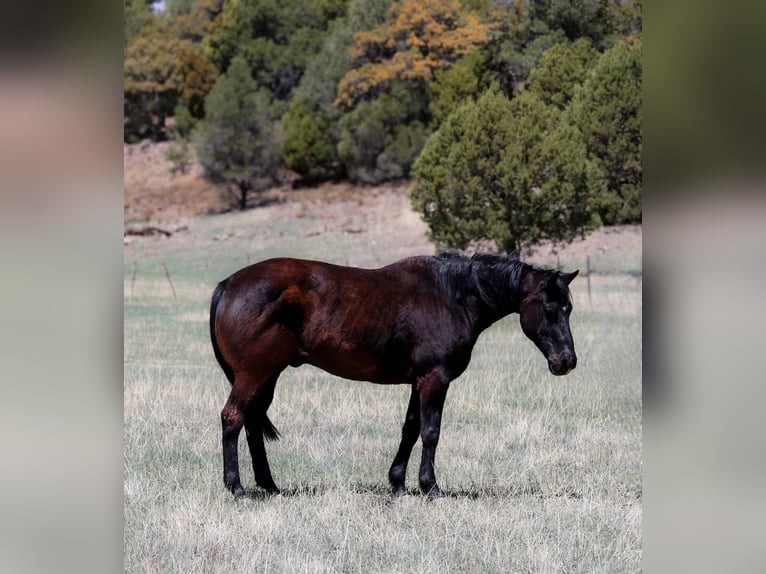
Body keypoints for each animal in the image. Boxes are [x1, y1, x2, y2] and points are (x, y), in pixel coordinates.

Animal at [209, 252, 578, 499]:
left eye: (569, 308)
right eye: (550, 308)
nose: (567, 361)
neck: (451, 297)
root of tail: (228, 285)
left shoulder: (419, 380)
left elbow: (411, 429)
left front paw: (398, 482)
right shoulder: (435, 379)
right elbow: (430, 432)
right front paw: (431, 487)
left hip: (268, 375)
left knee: (252, 422)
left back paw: (269, 485)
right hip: (253, 374)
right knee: (233, 418)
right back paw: (237, 487)